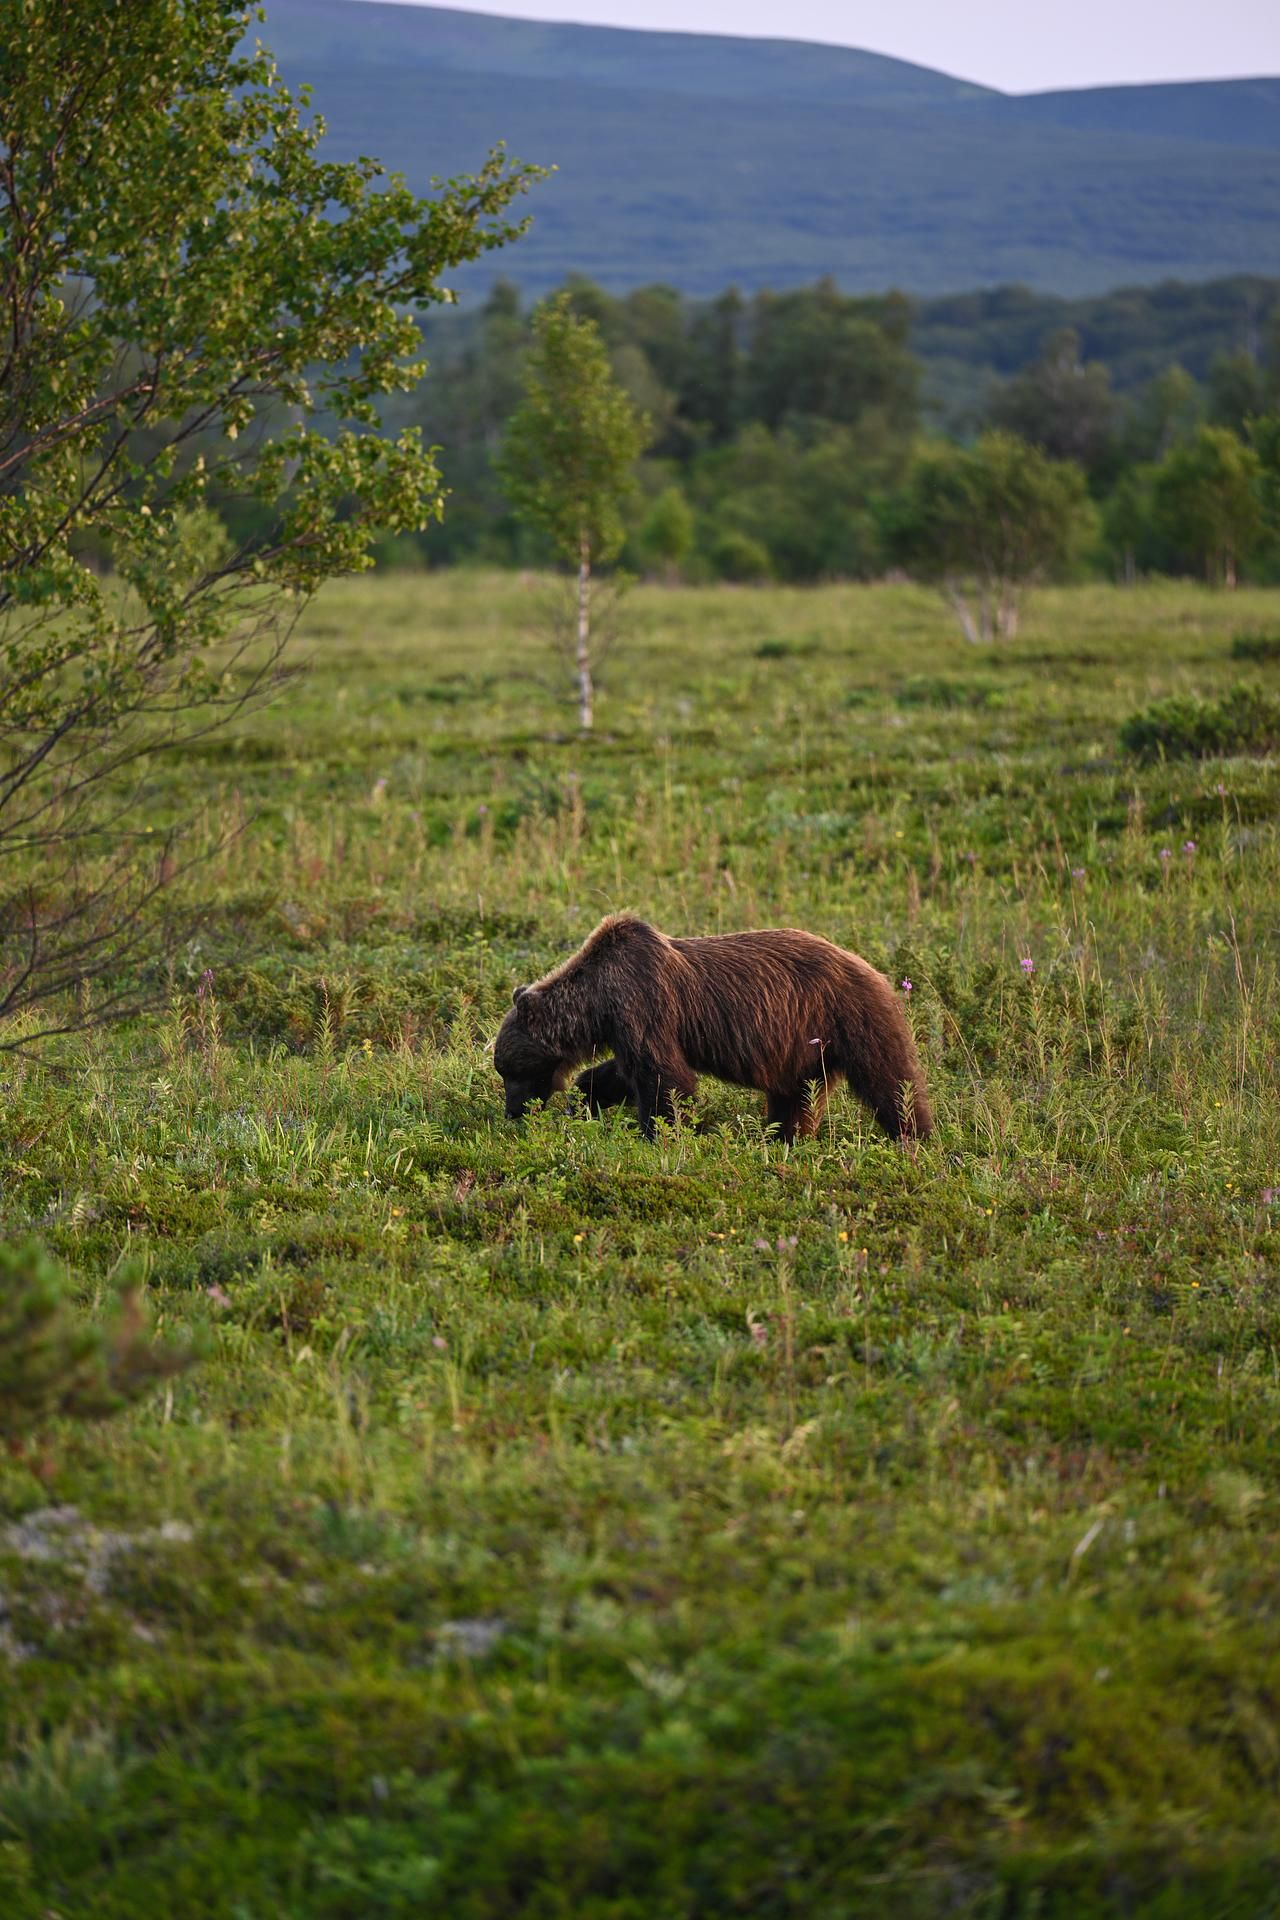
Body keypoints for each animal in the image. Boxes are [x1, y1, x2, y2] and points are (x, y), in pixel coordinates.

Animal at [491, 910, 932, 1136]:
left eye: (510, 1071)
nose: (513, 1111)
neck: (598, 1000)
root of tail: (877, 971)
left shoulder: (643, 1001)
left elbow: (664, 1078)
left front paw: (660, 1134)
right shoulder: (627, 1025)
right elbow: (624, 1071)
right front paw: (586, 1097)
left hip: (850, 1018)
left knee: (890, 1081)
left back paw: (914, 1137)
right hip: (805, 1046)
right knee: (796, 1095)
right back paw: (783, 1137)